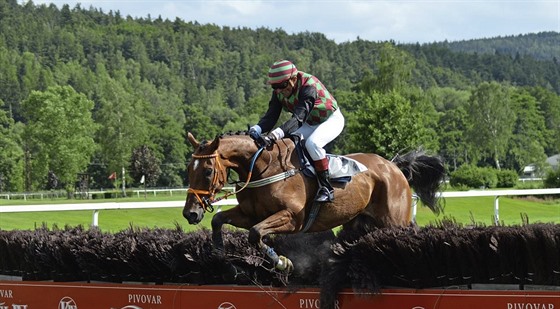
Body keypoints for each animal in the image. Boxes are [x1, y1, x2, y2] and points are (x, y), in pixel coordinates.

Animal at [185, 131, 446, 270]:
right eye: (189, 168)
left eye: (207, 171)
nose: (190, 213)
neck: (262, 168)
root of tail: (393, 166)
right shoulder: (250, 214)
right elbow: (219, 220)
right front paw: (219, 253)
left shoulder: (292, 219)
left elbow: (256, 233)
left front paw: (282, 262)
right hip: (358, 221)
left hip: (394, 220)